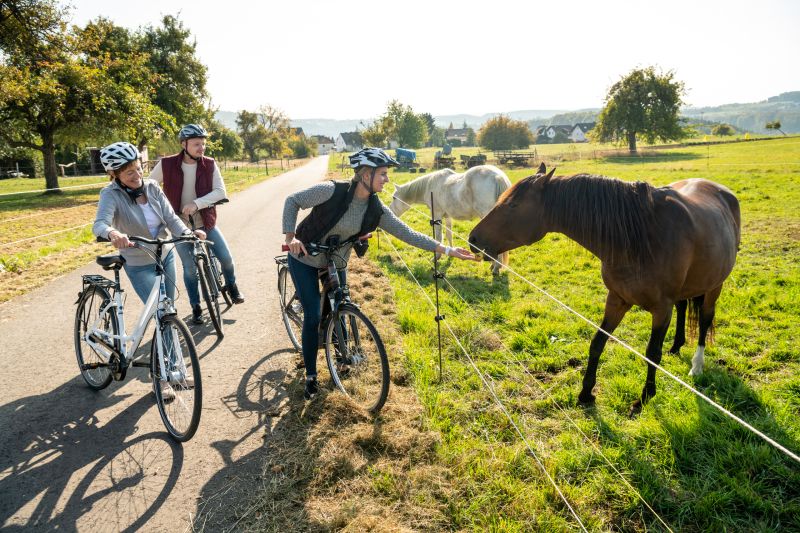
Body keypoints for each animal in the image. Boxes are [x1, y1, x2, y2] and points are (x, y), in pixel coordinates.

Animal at [466, 164, 740, 414]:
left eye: (513, 205)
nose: (473, 240)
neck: (641, 237)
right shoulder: (617, 299)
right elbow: (597, 342)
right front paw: (586, 392)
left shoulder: (661, 309)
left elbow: (652, 352)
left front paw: (643, 399)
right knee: (683, 307)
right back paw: (676, 346)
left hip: (715, 286)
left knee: (705, 320)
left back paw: (697, 365)